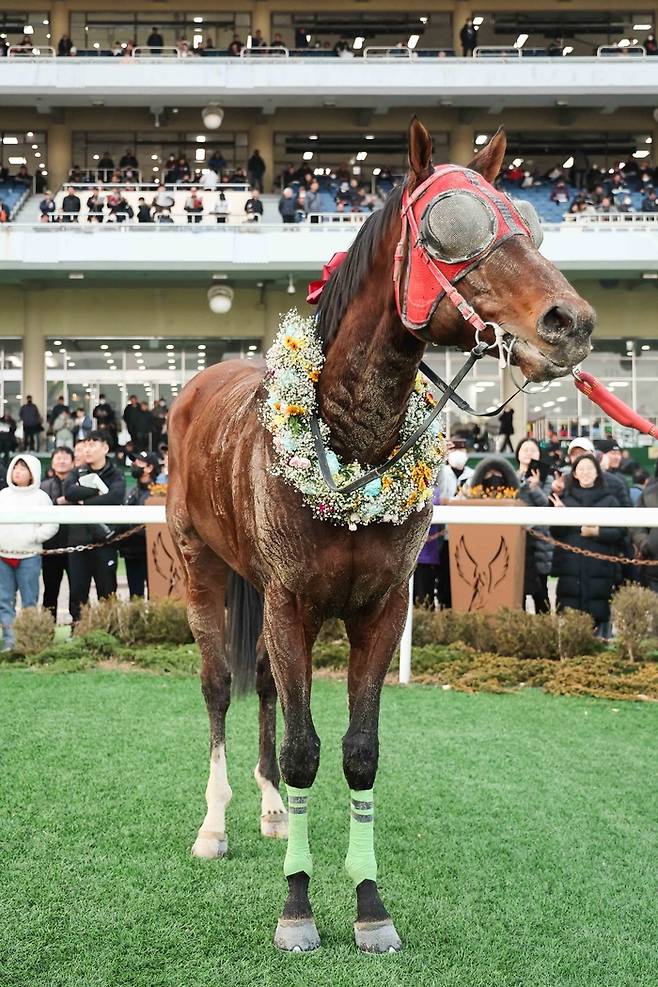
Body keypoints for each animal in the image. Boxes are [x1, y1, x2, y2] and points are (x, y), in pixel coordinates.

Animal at [165, 119, 596, 952]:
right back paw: (215, 821)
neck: (350, 443)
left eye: (529, 224)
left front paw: (369, 903)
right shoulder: (292, 600)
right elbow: (305, 749)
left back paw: (269, 809)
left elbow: (359, 754)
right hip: (201, 562)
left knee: (262, 682)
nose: (571, 321)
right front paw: (297, 905)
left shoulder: (382, 603)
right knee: (219, 684)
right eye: (454, 226)